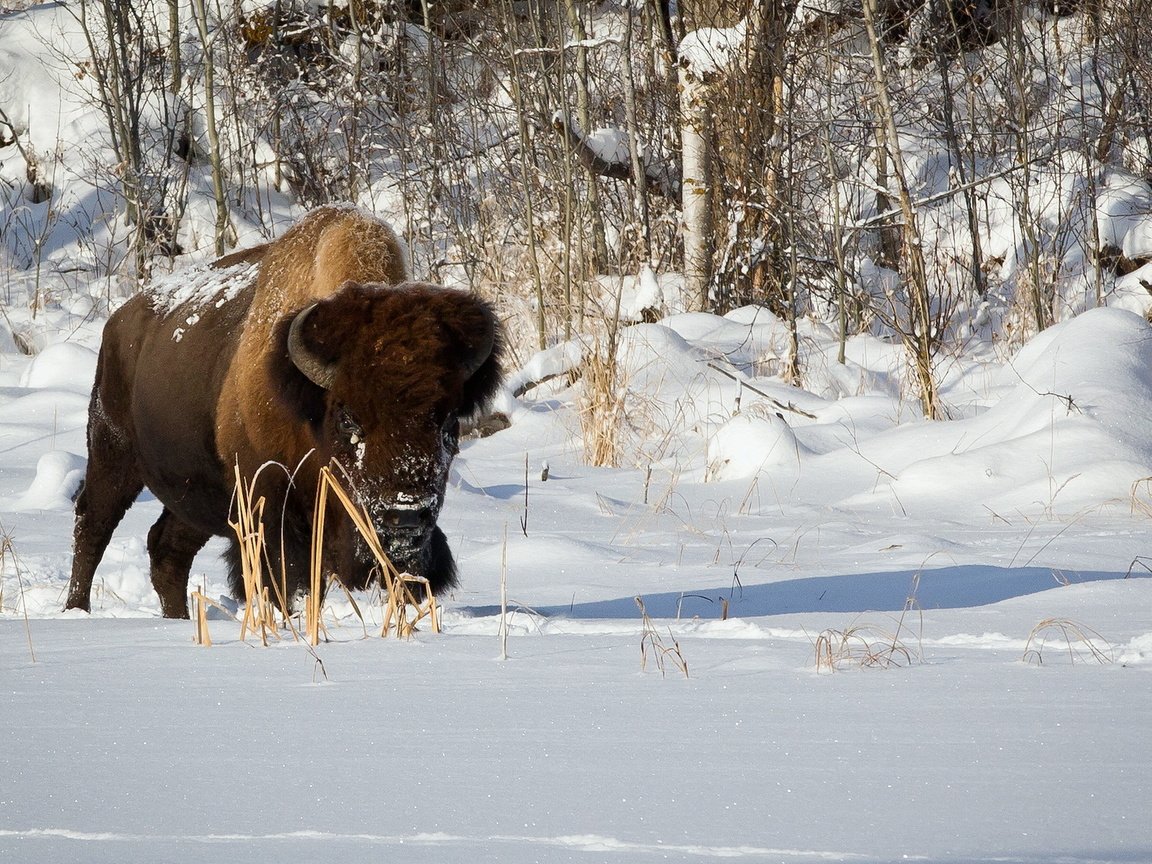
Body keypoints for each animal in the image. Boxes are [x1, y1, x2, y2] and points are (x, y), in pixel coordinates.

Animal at [65, 205, 502, 617]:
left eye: (448, 423)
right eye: (348, 419)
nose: (406, 517)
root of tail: (118, 321)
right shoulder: (269, 517)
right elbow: (283, 584)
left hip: (195, 493)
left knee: (167, 550)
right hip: (113, 454)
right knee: (92, 524)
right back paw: (76, 610)